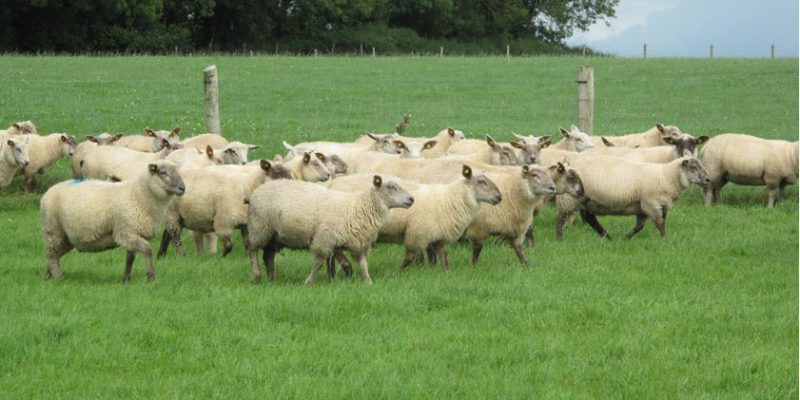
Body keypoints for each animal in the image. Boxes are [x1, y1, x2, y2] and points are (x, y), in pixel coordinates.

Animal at [40, 160, 186, 282]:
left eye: (178, 171)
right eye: (163, 172)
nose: (182, 188)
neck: (140, 195)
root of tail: (49, 191)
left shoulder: (133, 233)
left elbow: (130, 258)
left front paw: (126, 279)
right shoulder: (125, 232)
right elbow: (147, 250)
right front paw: (151, 276)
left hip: (68, 237)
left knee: (56, 253)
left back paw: (48, 275)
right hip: (53, 229)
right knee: (52, 253)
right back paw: (58, 277)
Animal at [157, 160, 291, 258]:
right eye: (277, 175)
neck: (245, 188)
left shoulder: (246, 225)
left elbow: (247, 244)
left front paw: (248, 257)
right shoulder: (223, 221)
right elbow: (229, 245)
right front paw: (220, 257)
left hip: (176, 216)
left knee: (166, 234)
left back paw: (161, 256)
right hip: (171, 213)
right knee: (175, 236)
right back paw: (181, 255)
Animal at [246, 175, 415, 285]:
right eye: (391, 187)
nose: (412, 199)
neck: (358, 207)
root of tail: (256, 191)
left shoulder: (356, 244)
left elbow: (363, 265)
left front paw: (368, 282)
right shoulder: (324, 240)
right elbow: (318, 264)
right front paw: (309, 282)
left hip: (274, 235)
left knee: (268, 256)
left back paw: (272, 279)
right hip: (259, 227)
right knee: (251, 249)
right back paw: (257, 275)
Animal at [329, 165, 502, 272]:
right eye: (481, 181)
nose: (499, 197)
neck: (450, 199)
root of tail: (331, 184)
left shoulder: (439, 237)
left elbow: (444, 258)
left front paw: (447, 273)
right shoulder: (417, 233)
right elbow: (410, 258)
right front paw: (397, 272)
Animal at [555, 154, 710, 239]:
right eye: (693, 167)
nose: (708, 180)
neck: (666, 176)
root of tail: (568, 165)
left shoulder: (647, 207)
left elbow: (640, 227)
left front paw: (626, 238)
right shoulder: (651, 203)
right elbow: (660, 224)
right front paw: (665, 240)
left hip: (587, 201)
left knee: (590, 218)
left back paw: (607, 236)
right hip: (569, 199)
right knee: (561, 219)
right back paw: (559, 239)